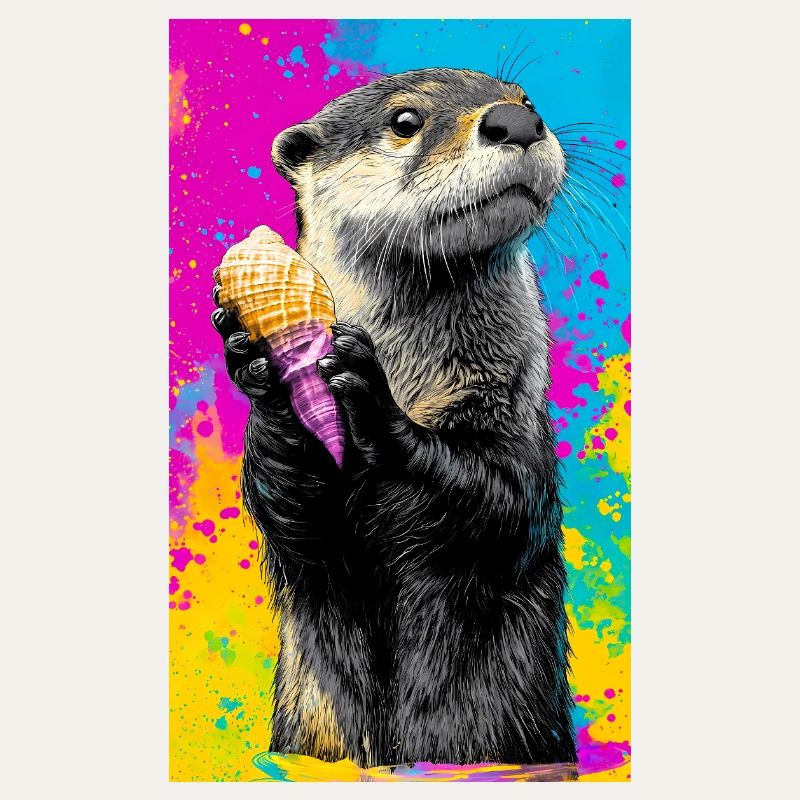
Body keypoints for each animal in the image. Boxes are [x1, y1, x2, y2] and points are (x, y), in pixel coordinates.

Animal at [210, 68, 576, 770]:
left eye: (527, 100)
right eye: (405, 121)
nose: (515, 121)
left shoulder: (517, 421)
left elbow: (499, 500)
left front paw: (375, 403)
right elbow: (297, 521)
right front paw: (259, 375)